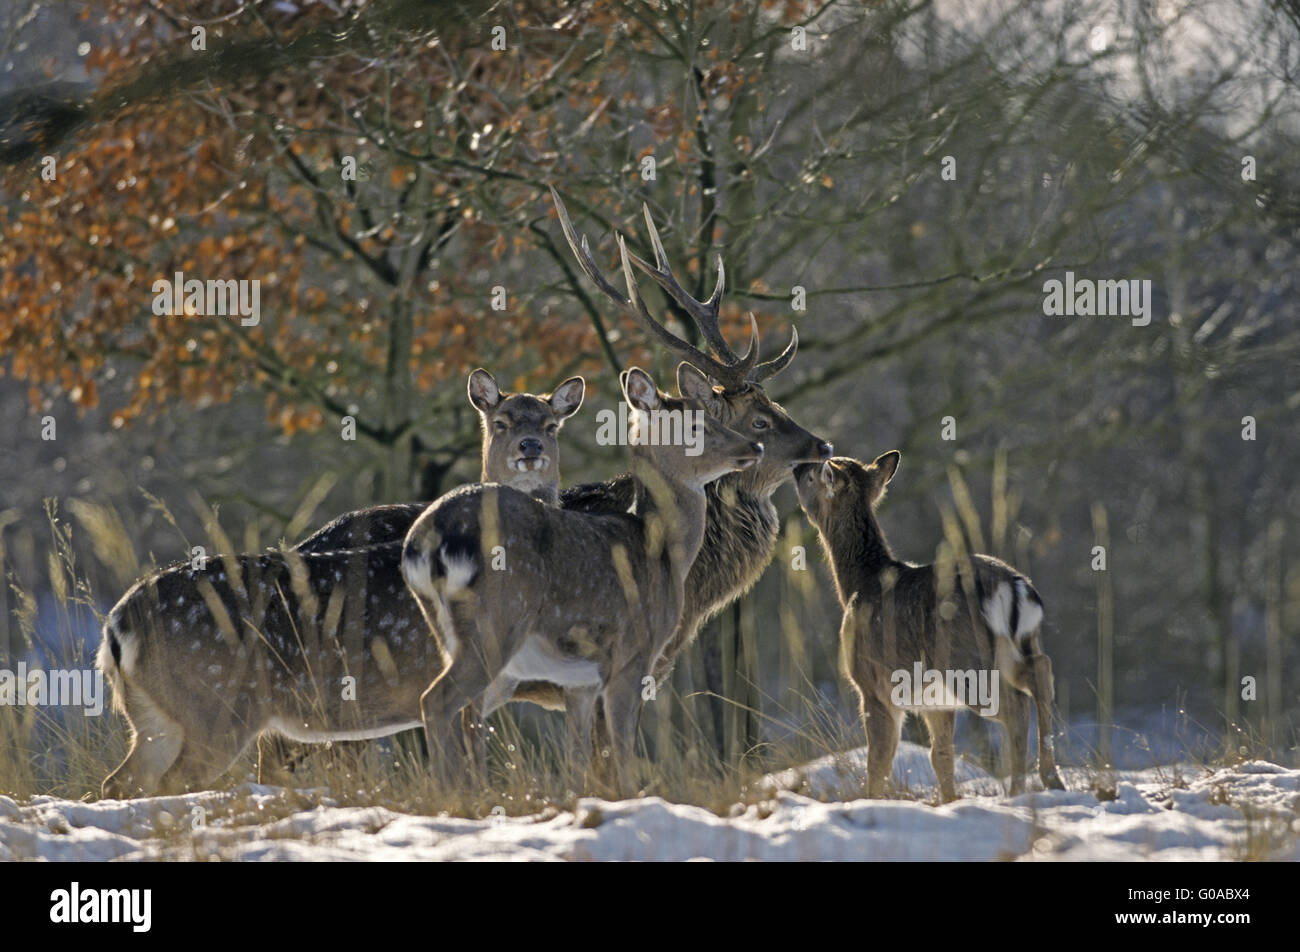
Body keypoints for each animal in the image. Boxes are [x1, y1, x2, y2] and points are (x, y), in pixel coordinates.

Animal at [98, 369, 587, 801]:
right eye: (501, 421)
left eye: (551, 424)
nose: (530, 446)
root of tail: (117, 625)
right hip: (216, 707)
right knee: (169, 783)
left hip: (155, 717)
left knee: (119, 783)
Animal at [395, 361, 759, 790]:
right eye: (696, 425)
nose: (754, 447)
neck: (662, 551)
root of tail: (424, 540)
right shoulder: (632, 654)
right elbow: (621, 755)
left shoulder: (581, 682)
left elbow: (578, 761)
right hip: (497, 622)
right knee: (438, 702)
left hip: (443, 629)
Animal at [790, 452, 1066, 801]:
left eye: (812, 474)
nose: (796, 466)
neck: (858, 585)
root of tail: (1014, 587)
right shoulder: (936, 702)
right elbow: (941, 758)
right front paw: (949, 801)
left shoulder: (871, 685)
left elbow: (878, 760)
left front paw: (871, 799)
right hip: (1019, 644)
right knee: (1041, 670)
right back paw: (1052, 779)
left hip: (963, 658)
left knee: (1016, 703)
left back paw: (1018, 789)